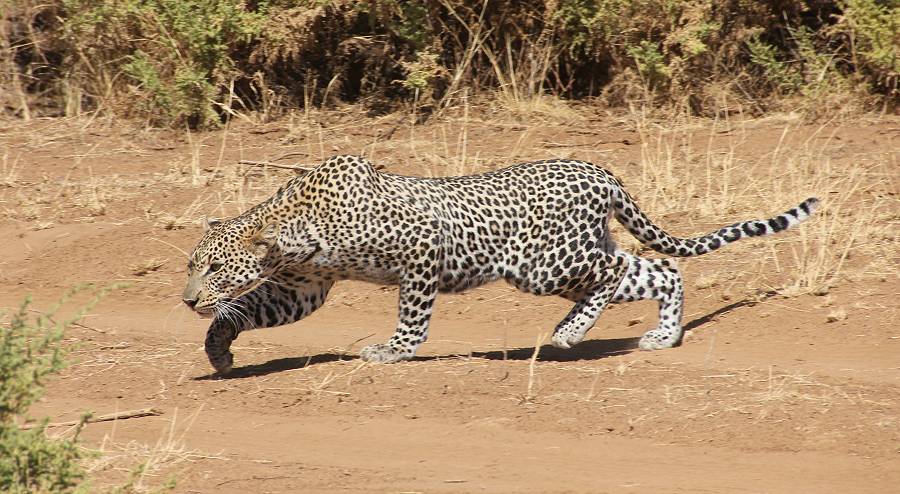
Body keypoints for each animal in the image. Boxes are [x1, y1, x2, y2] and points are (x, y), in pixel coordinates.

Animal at [179, 155, 820, 374]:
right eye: (193, 267)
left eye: (213, 269)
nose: (185, 299)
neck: (293, 225)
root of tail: (600, 171)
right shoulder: (303, 288)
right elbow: (248, 311)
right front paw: (217, 351)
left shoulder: (422, 253)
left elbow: (413, 315)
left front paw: (394, 352)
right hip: (576, 256)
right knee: (659, 271)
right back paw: (663, 336)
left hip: (548, 265)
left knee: (615, 277)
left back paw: (567, 334)